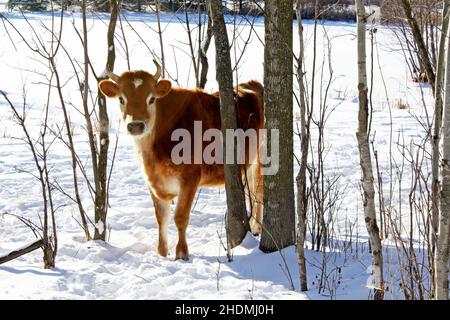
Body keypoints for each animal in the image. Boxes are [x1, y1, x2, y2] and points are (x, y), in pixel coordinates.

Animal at [98, 62, 264, 260]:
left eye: (151, 99)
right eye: (121, 99)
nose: (135, 125)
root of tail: (251, 84)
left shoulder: (190, 178)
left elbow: (180, 216)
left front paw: (182, 253)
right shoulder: (153, 182)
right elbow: (161, 217)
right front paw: (162, 253)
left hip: (262, 155)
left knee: (259, 191)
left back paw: (256, 227)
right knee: (249, 191)